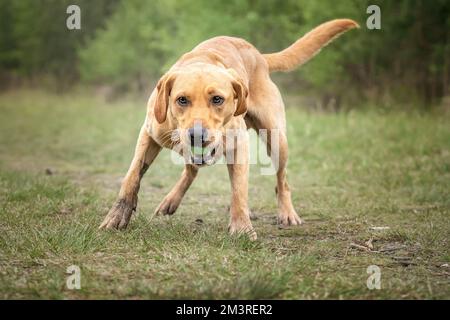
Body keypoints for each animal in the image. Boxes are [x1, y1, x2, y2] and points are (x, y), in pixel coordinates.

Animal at [99, 18, 358, 239]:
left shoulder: (239, 146)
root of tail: (259, 56)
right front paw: (118, 214)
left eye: (217, 99)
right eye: (182, 100)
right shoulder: (149, 134)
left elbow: (239, 191)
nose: (197, 135)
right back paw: (171, 200)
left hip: (277, 141)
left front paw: (242, 227)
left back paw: (287, 212)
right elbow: (132, 176)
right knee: (191, 170)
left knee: (282, 181)